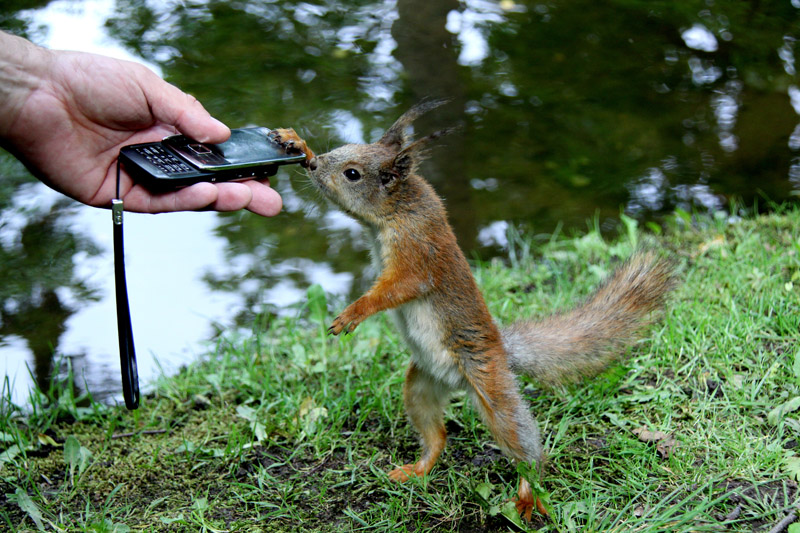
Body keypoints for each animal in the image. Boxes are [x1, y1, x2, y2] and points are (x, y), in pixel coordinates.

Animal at [268, 101, 676, 520]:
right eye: (340, 149)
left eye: (352, 174)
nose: (313, 166)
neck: (398, 211)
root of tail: (500, 352)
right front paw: (295, 142)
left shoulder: (418, 255)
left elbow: (396, 289)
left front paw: (352, 314)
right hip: (421, 386)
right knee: (437, 434)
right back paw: (418, 468)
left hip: (490, 386)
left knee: (523, 444)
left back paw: (528, 494)